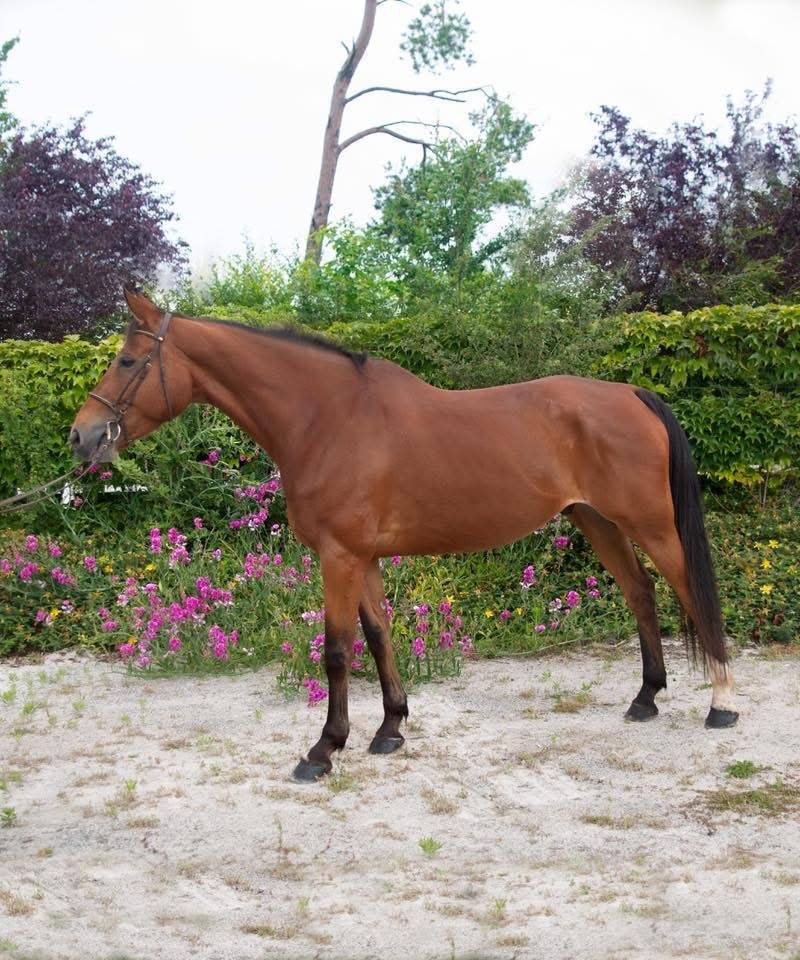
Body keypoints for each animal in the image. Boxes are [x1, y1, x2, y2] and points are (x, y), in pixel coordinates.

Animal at [70, 290, 738, 782]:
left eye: (126, 361)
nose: (82, 436)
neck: (328, 419)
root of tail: (632, 393)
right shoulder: (362, 558)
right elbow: (379, 637)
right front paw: (390, 729)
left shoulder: (338, 557)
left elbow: (338, 651)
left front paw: (323, 750)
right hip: (597, 521)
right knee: (641, 595)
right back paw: (646, 699)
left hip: (651, 524)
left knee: (693, 594)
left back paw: (722, 704)